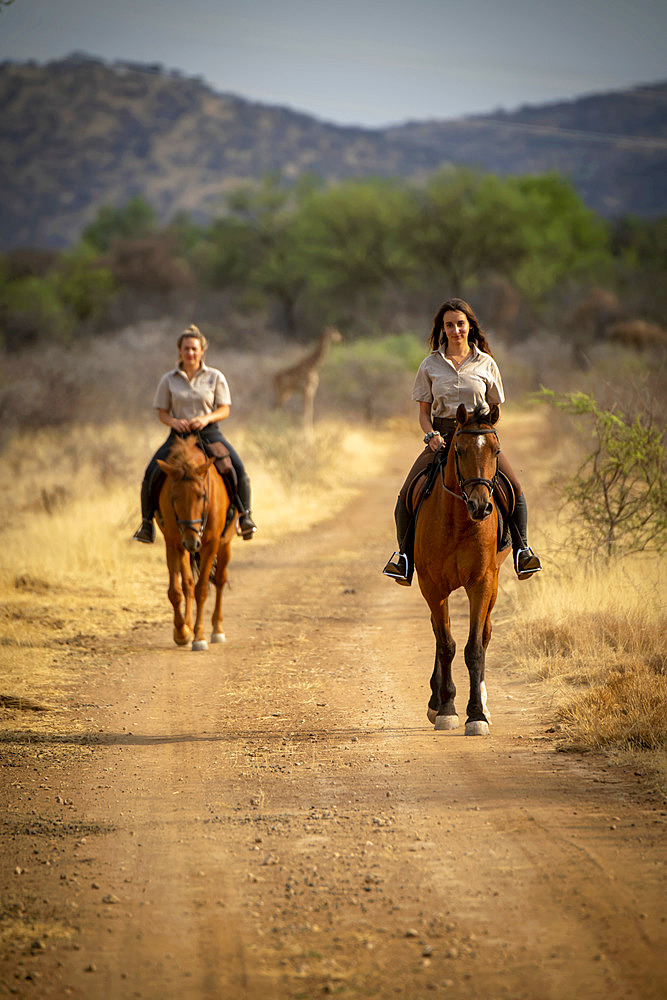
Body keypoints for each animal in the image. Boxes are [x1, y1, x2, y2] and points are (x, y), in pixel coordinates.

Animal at [158, 434, 236, 652]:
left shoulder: (211, 544)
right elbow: (176, 591)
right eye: (174, 497)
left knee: (219, 581)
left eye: (202, 495)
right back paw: (187, 625)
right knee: (188, 585)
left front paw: (199, 637)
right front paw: (182, 632)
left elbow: (202, 590)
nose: (192, 541)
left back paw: (217, 630)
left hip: (224, 545)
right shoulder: (172, 543)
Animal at [412, 402, 512, 740]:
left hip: (494, 582)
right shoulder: (432, 586)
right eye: (460, 450)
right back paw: (436, 701)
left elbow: (474, 648)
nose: (481, 507)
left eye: (496, 450)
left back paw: (483, 702)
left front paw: (476, 715)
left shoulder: (481, 583)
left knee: (486, 633)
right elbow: (446, 644)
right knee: (437, 631)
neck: (458, 518)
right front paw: (446, 709)